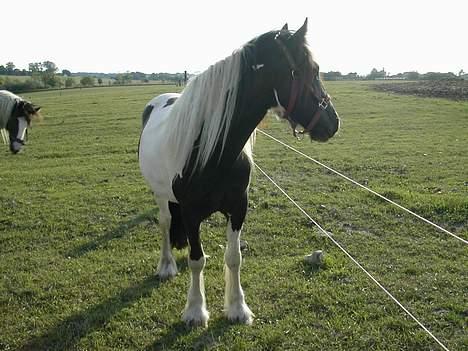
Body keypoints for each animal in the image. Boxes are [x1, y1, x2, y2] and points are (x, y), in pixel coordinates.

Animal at [139, 19, 340, 328]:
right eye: (314, 70)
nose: (333, 123)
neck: (211, 149)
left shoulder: (238, 208)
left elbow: (233, 258)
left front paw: (237, 308)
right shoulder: (191, 212)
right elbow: (197, 260)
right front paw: (195, 310)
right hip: (161, 195)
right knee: (165, 223)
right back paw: (167, 266)